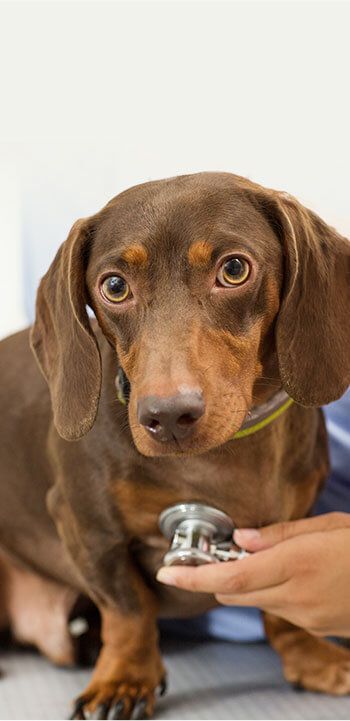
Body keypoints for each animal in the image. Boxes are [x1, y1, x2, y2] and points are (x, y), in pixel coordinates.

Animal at [0, 172, 350, 716]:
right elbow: (128, 608)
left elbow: (280, 610)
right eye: (114, 286)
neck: (215, 459)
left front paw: (308, 655)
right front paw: (124, 678)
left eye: (234, 269)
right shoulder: (83, 524)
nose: (167, 417)